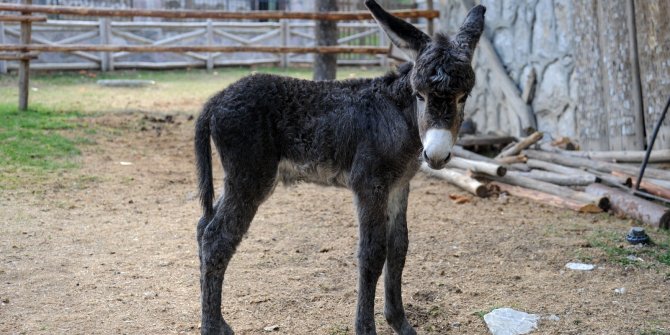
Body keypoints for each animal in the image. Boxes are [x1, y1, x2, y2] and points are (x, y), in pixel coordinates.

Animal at [196, 1, 488, 334]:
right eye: (419, 95)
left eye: (463, 96)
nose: (436, 155)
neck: (397, 118)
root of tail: (215, 99)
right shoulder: (368, 185)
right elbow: (372, 254)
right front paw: (366, 328)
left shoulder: (398, 186)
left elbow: (398, 248)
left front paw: (400, 323)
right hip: (251, 178)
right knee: (216, 239)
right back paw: (211, 327)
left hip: (240, 179)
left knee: (203, 227)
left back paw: (217, 320)